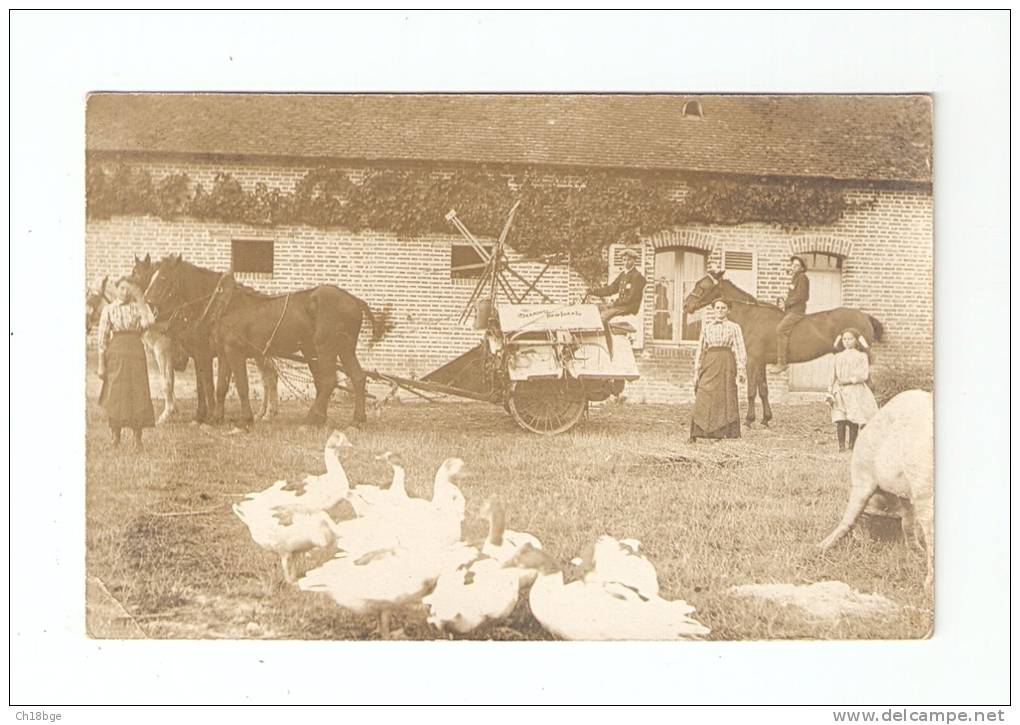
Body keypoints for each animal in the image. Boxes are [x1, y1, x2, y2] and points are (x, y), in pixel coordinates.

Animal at [191, 267, 385, 426]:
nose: (196, 329)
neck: (227, 305)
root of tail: (354, 300)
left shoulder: (234, 352)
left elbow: (241, 386)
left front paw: (245, 420)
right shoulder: (224, 353)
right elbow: (221, 387)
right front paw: (216, 419)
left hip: (326, 348)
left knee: (329, 380)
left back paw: (314, 418)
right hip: (343, 348)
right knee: (357, 377)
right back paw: (356, 419)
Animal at [685, 275, 885, 428]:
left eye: (702, 286)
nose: (686, 305)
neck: (751, 316)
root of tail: (864, 316)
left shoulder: (752, 361)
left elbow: (751, 391)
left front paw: (749, 420)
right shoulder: (760, 363)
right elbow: (763, 390)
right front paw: (766, 419)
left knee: (870, 387)